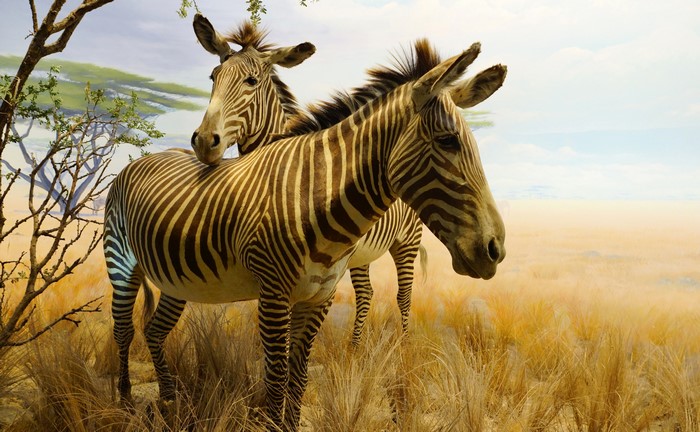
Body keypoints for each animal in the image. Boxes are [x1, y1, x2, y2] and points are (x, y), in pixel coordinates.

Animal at [192, 14, 425, 345]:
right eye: (214, 76)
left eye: (251, 81)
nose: (204, 141)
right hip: (361, 254)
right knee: (366, 293)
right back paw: (355, 348)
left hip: (407, 241)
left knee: (404, 296)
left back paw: (403, 346)